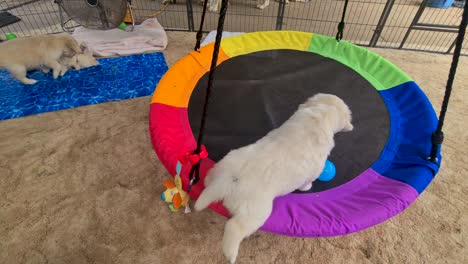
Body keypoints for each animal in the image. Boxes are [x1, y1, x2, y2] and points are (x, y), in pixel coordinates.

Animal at [194, 93, 352, 262]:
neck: (320, 115)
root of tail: (230, 180)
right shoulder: (315, 170)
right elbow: (307, 182)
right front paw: (307, 187)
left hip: (223, 165)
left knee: (209, 179)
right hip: (255, 212)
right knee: (234, 227)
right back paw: (231, 254)